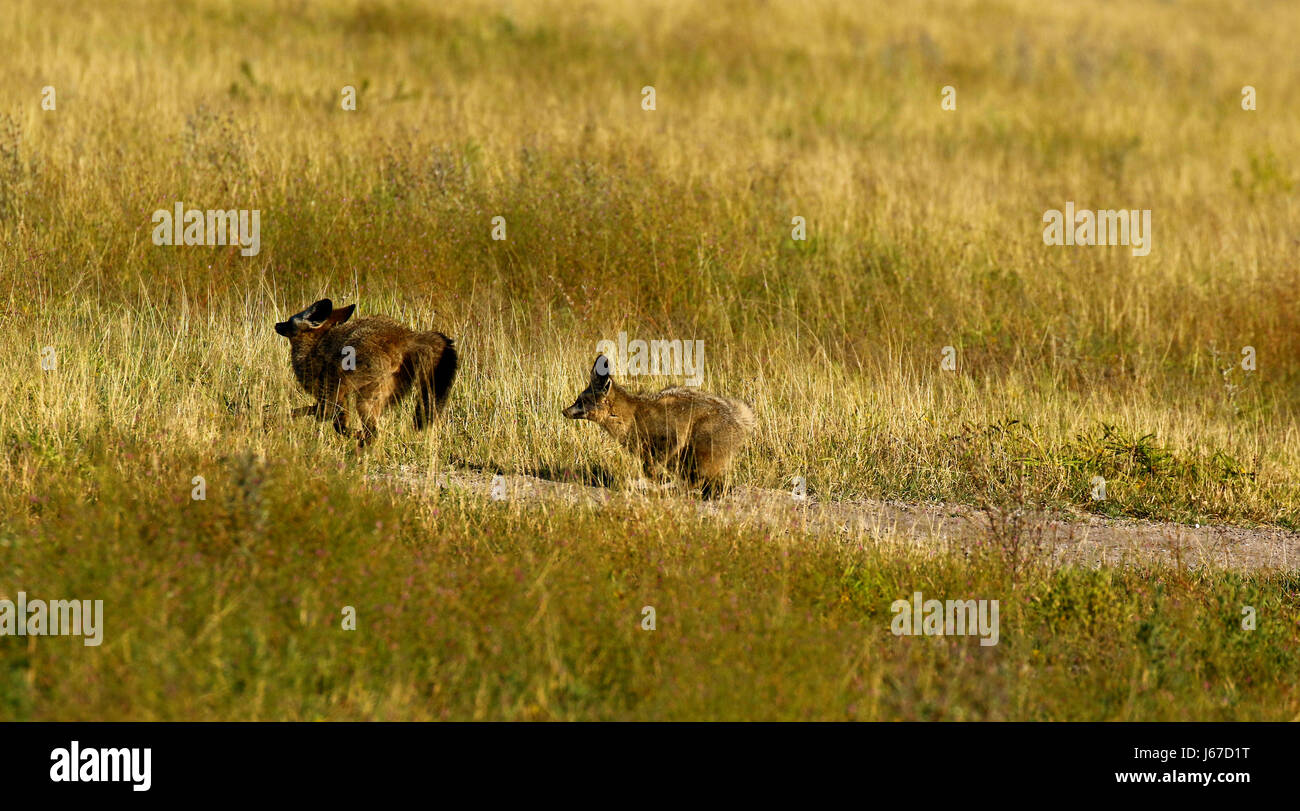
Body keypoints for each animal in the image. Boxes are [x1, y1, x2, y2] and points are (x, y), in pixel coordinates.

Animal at [273, 298, 457, 447]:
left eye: (288, 322)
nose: (276, 324)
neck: (313, 347)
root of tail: (407, 334)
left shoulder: (332, 395)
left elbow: (332, 421)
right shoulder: (335, 399)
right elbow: (314, 414)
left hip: (363, 400)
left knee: (373, 433)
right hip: (375, 397)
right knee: (372, 432)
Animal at [564, 356, 759, 501]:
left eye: (582, 401)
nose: (563, 411)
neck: (630, 416)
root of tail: (739, 417)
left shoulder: (670, 439)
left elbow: (650, 471)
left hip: (694, 452)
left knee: (705, 483)